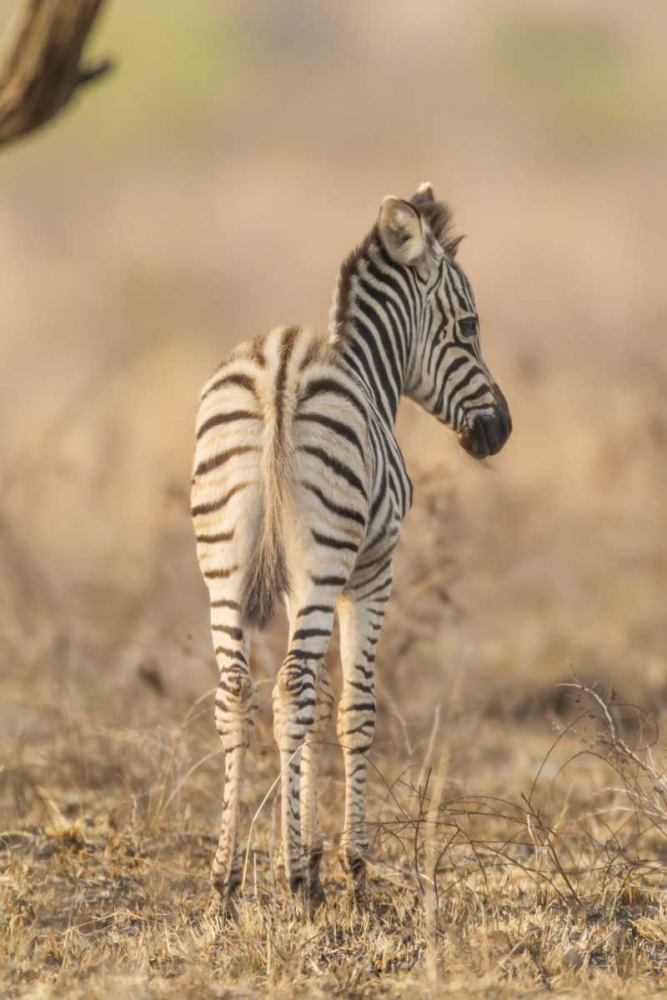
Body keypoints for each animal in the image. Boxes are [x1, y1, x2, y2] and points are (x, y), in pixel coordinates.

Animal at [190, 182, 516, 908]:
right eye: (470, 325)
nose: (501, 431)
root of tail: (279, 366)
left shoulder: (290, 582)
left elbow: (313, 711)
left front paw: (310, 851)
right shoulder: (371, 569)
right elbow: (354, 708)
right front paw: (346, 862)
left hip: (225, 560)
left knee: (239, 691)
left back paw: (225, 879)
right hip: (325, 560)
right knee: (289, 688)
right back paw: (288, 880)